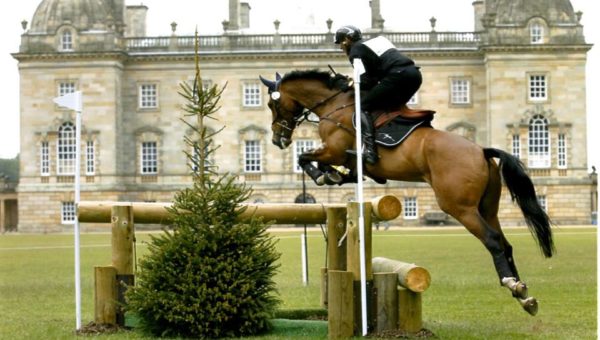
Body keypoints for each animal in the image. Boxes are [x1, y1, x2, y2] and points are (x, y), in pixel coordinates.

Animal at [260, 69, 556, 316]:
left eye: (273, 104)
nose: (277, 139)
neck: (334, 105)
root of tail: (481, 150)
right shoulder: (342, 157)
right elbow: (328, 165)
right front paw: (333, 175)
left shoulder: (333, 150)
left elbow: (304, 157)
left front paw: (322, 175)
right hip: (487, 207)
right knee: (505, 244)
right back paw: (523, 295)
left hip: (459, 207)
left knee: (493, 240)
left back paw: (512, 283)